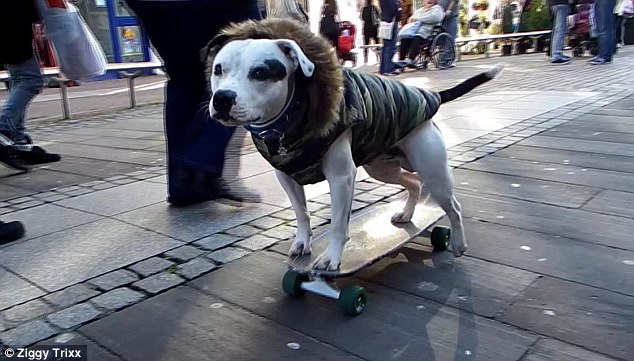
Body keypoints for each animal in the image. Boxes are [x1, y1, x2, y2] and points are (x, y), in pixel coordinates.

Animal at [205, 18, 502, 268]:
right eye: (218, 69)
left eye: (260, 73)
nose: (222, 98)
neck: (289, 122)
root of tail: (429, 95)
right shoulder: (286, 177)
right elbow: (301, 212)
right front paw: (302, 242)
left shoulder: (340, 178)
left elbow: (338, 223)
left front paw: (331, 258)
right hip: (382, 168)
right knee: (414, 183)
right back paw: (406, 215)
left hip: (433, 170)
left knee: (453, 206)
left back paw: (459, 243)